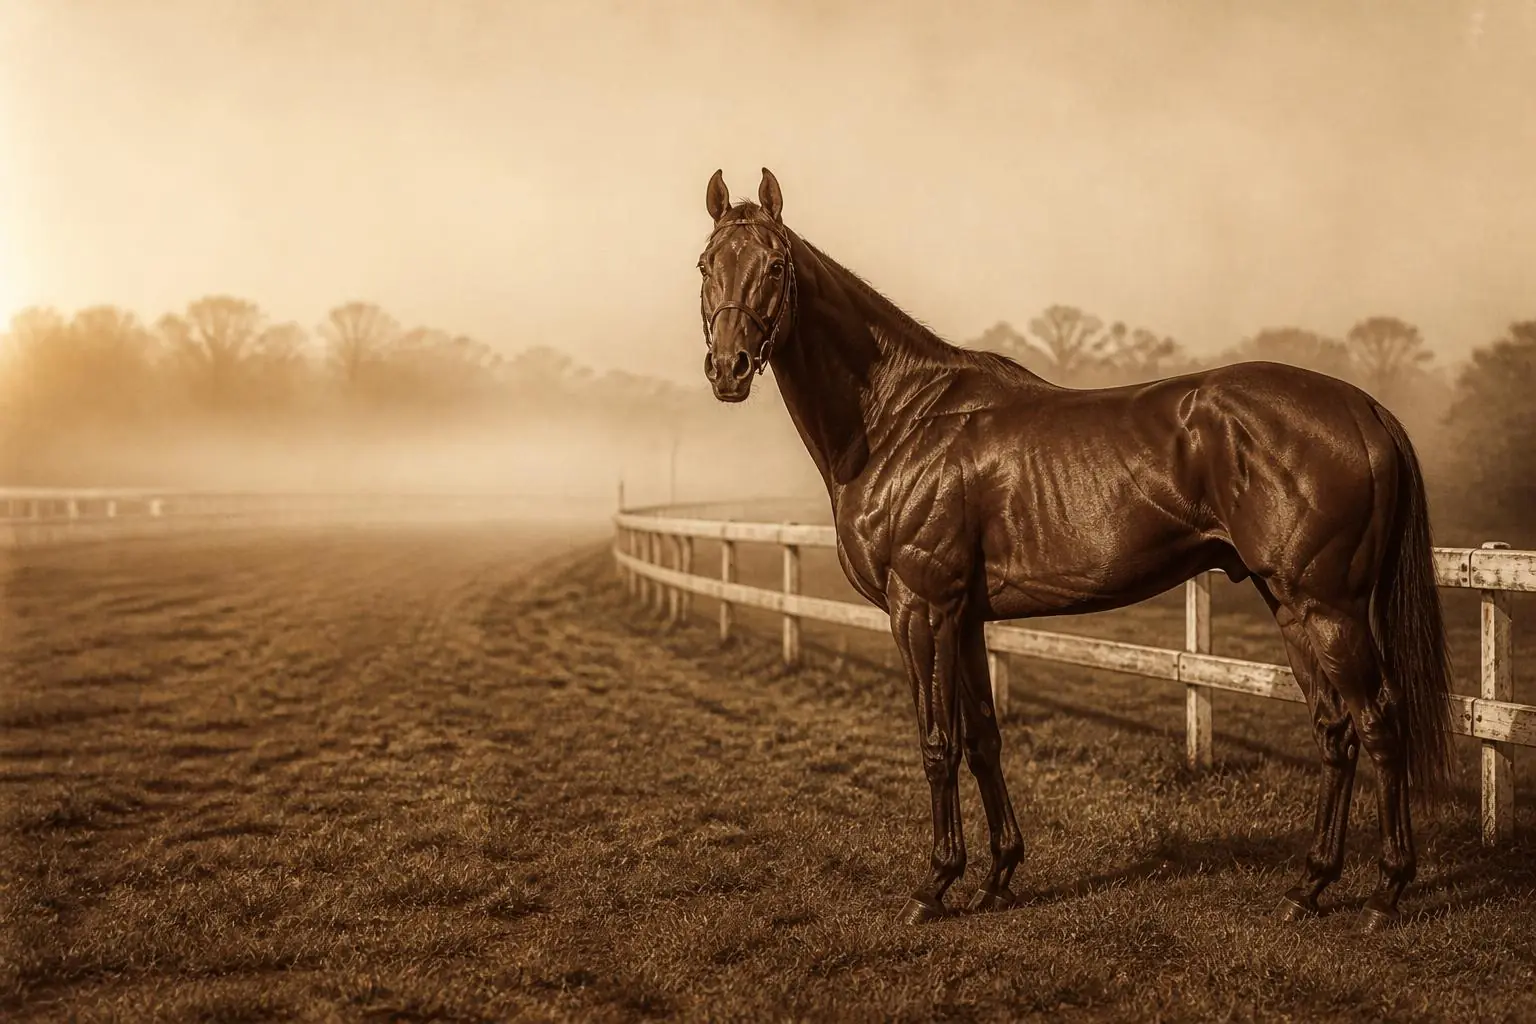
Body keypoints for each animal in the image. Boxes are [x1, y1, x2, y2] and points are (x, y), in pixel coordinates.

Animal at [695, 167, 1455, 932]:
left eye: (776, 266)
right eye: (706, 265)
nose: (728, 368)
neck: (904, 420)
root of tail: (1363, 408)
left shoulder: (920, 608)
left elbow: (937, 743)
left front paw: (934, 884)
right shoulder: (964, 618)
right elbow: (983, 739)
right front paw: (998, 876)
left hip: (1330, 608)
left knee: (1379, 725)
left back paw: (1386, 892)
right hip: (1293, 607)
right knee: (1336, 732)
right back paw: (1309, 886)